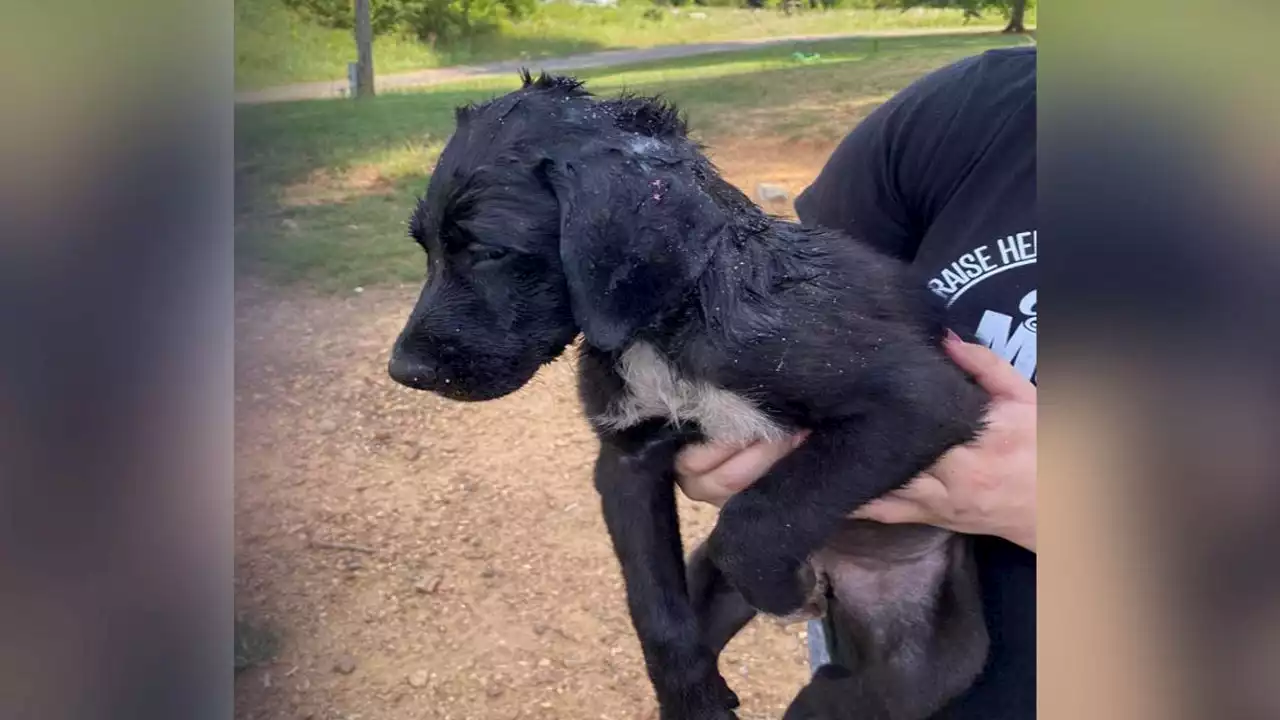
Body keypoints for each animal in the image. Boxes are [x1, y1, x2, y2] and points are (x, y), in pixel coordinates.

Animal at [389, 74, 988, 717]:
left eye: (488, 250)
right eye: (424, 247)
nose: (403, 370)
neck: (666, 325)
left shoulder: (921, 398)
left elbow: (756, 517)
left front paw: (786, 590)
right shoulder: (626, 458)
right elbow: (654, 608)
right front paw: (693, 698)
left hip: (910, 675)